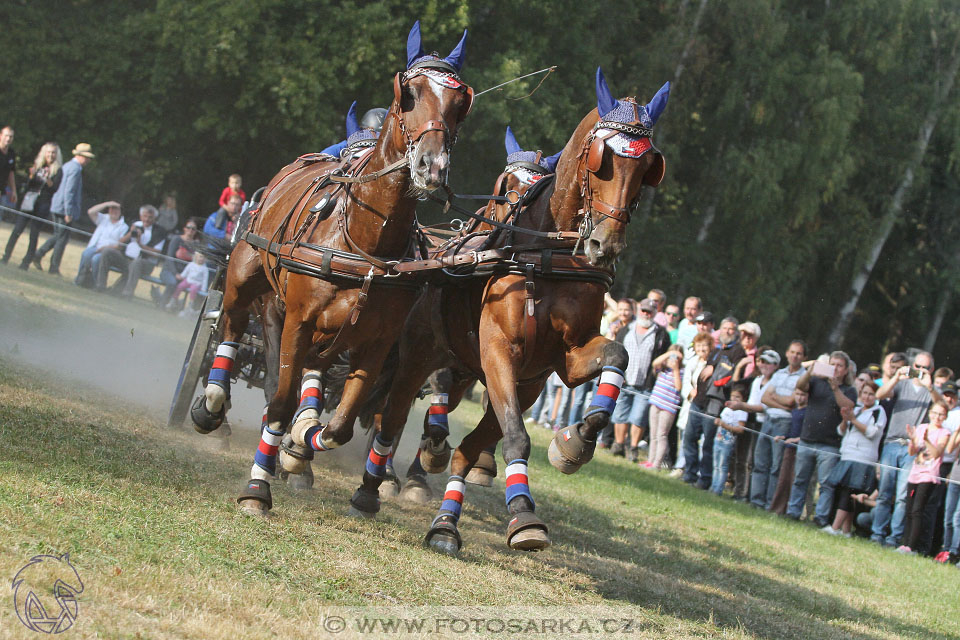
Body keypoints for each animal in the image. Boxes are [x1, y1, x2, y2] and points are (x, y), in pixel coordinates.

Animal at [189, 22, 474, 516]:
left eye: (460, 103)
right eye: (410, 93)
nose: (431, 166)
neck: (362, 242)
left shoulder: (378, 344)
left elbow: (340, 423)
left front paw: (302, 444)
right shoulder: (299, 322)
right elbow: (280, 400)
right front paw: (258, 485)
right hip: (247, 281)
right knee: (229, 327)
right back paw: (212, 406)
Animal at [298, 69, 668, 552]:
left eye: (647, 169)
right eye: (601, 160)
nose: (605, 245)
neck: (542, 255)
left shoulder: (551, 366)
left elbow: (617, 358)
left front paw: (575, 442)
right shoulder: (497, 350)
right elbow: (514, 435)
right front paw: (524, 511)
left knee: (461, 442)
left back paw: (443, 515)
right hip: (419, 354)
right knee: (392, 417)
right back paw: (372, 487)